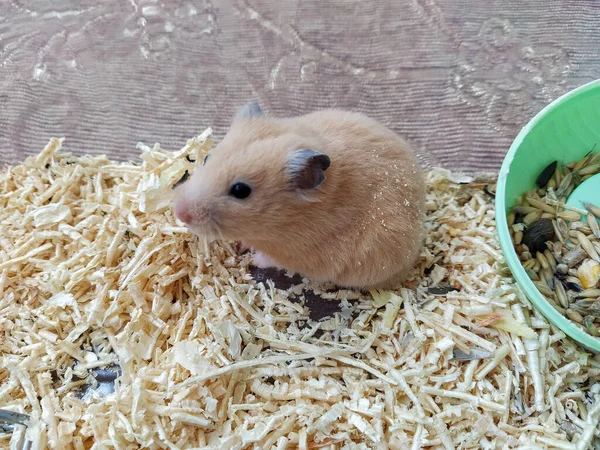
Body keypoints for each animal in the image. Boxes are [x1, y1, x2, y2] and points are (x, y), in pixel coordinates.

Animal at [173, 102, 426, 290]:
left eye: (240, 191)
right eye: (207, 158)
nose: (180, 213)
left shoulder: (298, 256)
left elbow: (270, 259)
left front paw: (252, 257)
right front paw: (241, 245)